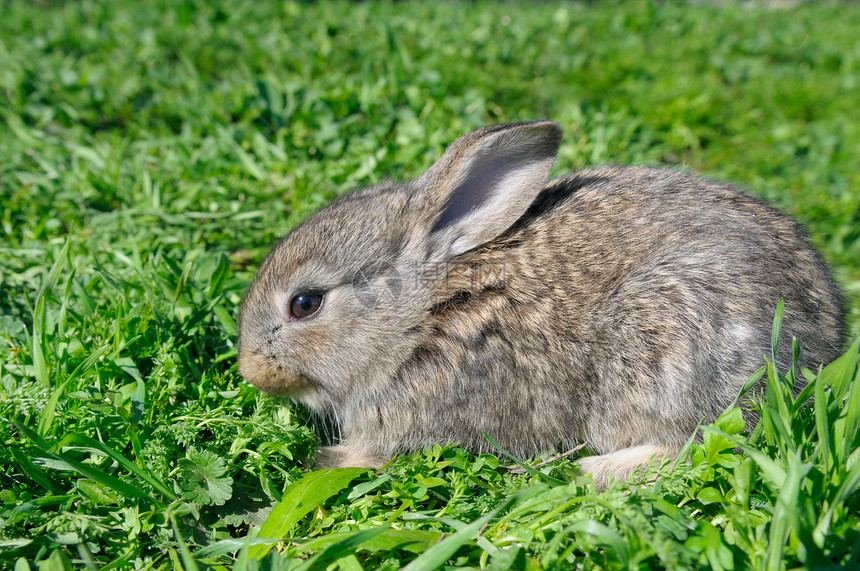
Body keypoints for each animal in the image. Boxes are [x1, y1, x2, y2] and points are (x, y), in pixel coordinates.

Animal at [237, 119, 848, 488]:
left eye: (306, 303)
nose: (250, 370)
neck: (422, 312)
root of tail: (828, 346)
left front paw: (324, 460)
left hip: (670, 347)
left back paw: (592, 469)